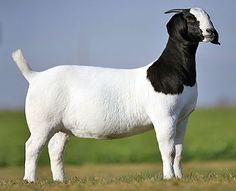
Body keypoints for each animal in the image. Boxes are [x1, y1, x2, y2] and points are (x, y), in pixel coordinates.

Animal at [11, 7, 219, 181]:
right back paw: (29, 180)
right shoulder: (165, 117)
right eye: (190, 18)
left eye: (208, 16)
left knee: (55, 150)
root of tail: (36, 76)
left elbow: (179, 150)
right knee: (32, 147)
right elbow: (168, 150)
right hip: (42, 122)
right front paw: (168, 178)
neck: (171, 71)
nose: (211, 32)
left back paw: (60, 180)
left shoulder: (183, 118)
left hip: (60, 126)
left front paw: (179, 178)